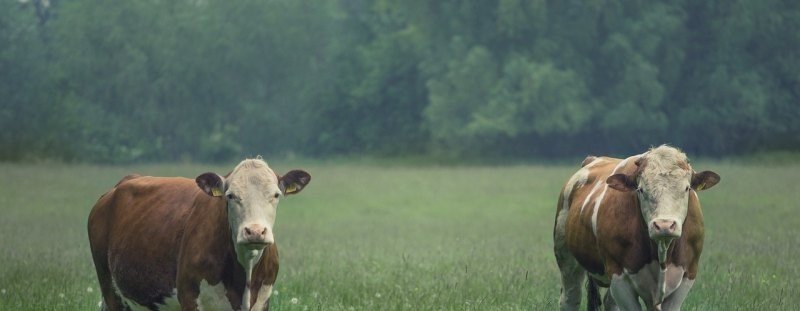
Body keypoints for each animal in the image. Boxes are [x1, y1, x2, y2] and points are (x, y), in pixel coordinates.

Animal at [88, 160, 310, 310]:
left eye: (276, 194)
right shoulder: (189, 296)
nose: (255, 231)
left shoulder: (263, 300)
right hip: (110, 289)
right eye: (230, 196)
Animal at [556, 147, 720, 311]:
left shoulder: (688, 275)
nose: (664, 225)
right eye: (641, 190)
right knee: (570, 297)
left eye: (687, 188)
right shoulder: (618, 276)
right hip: (567, 258)